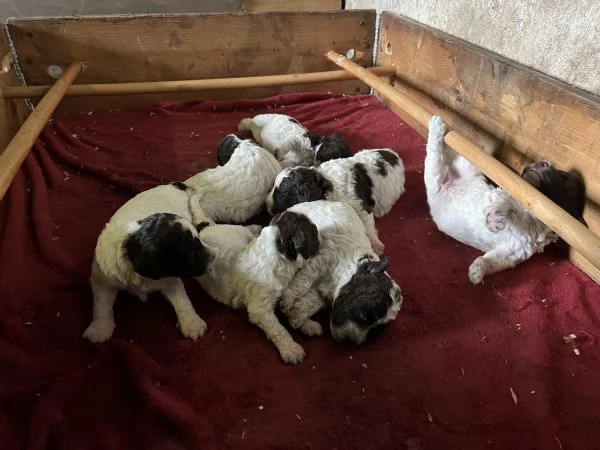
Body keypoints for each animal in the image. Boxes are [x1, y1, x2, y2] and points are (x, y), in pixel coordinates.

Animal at [82, 181, 213, 342]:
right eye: (193, 252)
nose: (214, 256)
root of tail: (175, 185)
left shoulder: (170, 279)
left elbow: (182, 299)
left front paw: (192, 323)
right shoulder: (103, 278)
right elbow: (101, 304)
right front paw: (99, 329)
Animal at [196, 209, 318, 364]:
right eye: (313, 231)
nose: (319, 235)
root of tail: (203, 230)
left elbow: (293, 309)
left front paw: (309, 324)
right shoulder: (261, 309)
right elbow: (279, 330)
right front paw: (291, 349)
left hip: (239, 234)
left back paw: (255, 228)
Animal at [268, 149, 406, 255]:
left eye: (279, 196)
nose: (267, 206)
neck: (326, 183)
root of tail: (395, 155)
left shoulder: (360, 206)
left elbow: (368, 225)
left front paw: (375, 245)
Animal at [280, 200, 406, 344]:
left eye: (375, 330)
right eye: (366, 312)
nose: (349, 341)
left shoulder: (324, 293)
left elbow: (312, 301)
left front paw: (296, 316)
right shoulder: (320, 260)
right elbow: (302, 282)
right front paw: (287, 301)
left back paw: (310, 326)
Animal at [424, 115, 588, 284]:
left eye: (563, 177)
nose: (543, 162)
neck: (536, 221)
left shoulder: (512, 252)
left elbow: (493, 260)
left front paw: (478, 270)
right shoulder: (507, 193)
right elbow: (506, 203)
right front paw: (494, 219)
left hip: (466, 167)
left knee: (451, 155)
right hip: (439, 172)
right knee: (435, 148)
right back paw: (437, 125)